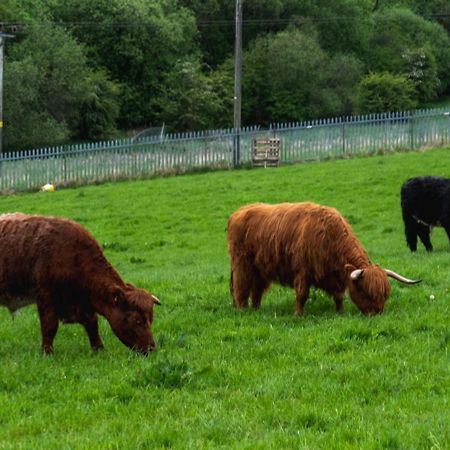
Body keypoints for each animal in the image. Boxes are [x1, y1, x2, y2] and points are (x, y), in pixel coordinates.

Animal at [0, 213, 162, 354]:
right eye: (137, 320)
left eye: (151, 319)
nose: (150, 349)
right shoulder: (46, 298)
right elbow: (49, 326)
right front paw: (47, 352)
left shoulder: (84, 304)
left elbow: (92, 325)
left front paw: (99, 349)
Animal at [229, 202, 422, 314]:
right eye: (365, 292)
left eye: (385, 294)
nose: (377, 313)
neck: (330, 237)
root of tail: (239, 211)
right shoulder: (302, 272)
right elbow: (302, 295)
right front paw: (298, 315)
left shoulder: (334, 276)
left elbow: (338, 296)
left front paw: (340, 313)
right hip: (242, 265)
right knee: (241, 287)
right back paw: (243, 310)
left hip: (260, 269)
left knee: (257, 289)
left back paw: (256, 308)